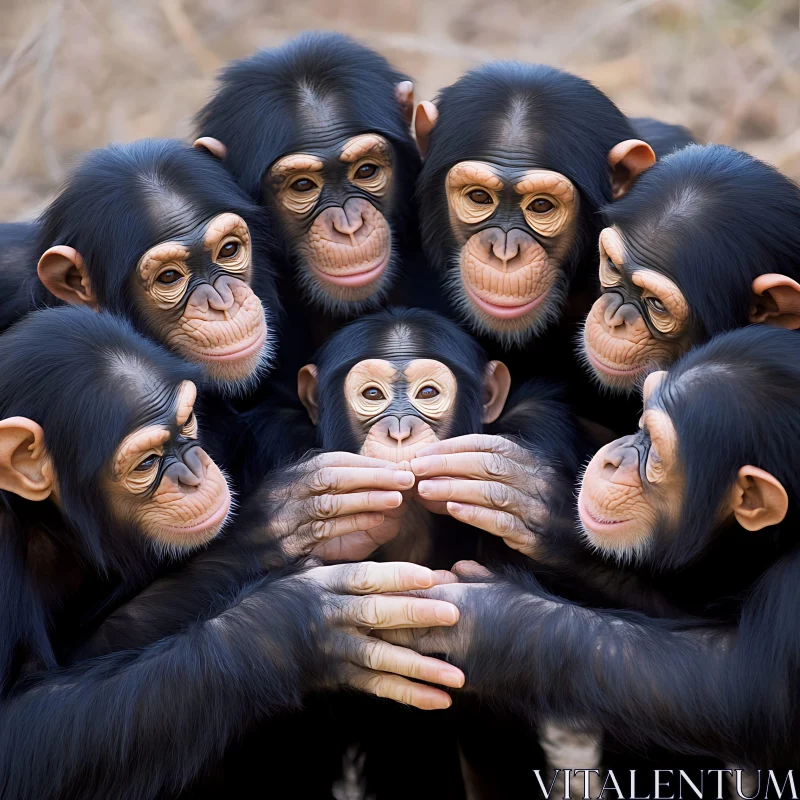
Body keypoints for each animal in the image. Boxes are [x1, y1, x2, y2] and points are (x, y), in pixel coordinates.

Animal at [0, 304, 462, 800]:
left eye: (187, 423)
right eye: (147, 463)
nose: (193, 470)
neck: (47, 517)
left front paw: (286, 518)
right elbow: (23, 725)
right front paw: (298, 615)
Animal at [382, 326, 800, 768]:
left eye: (654, 448)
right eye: (641, 424)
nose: (614, 458)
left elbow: (739, 686)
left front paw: (479, 615)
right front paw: (545, 504)